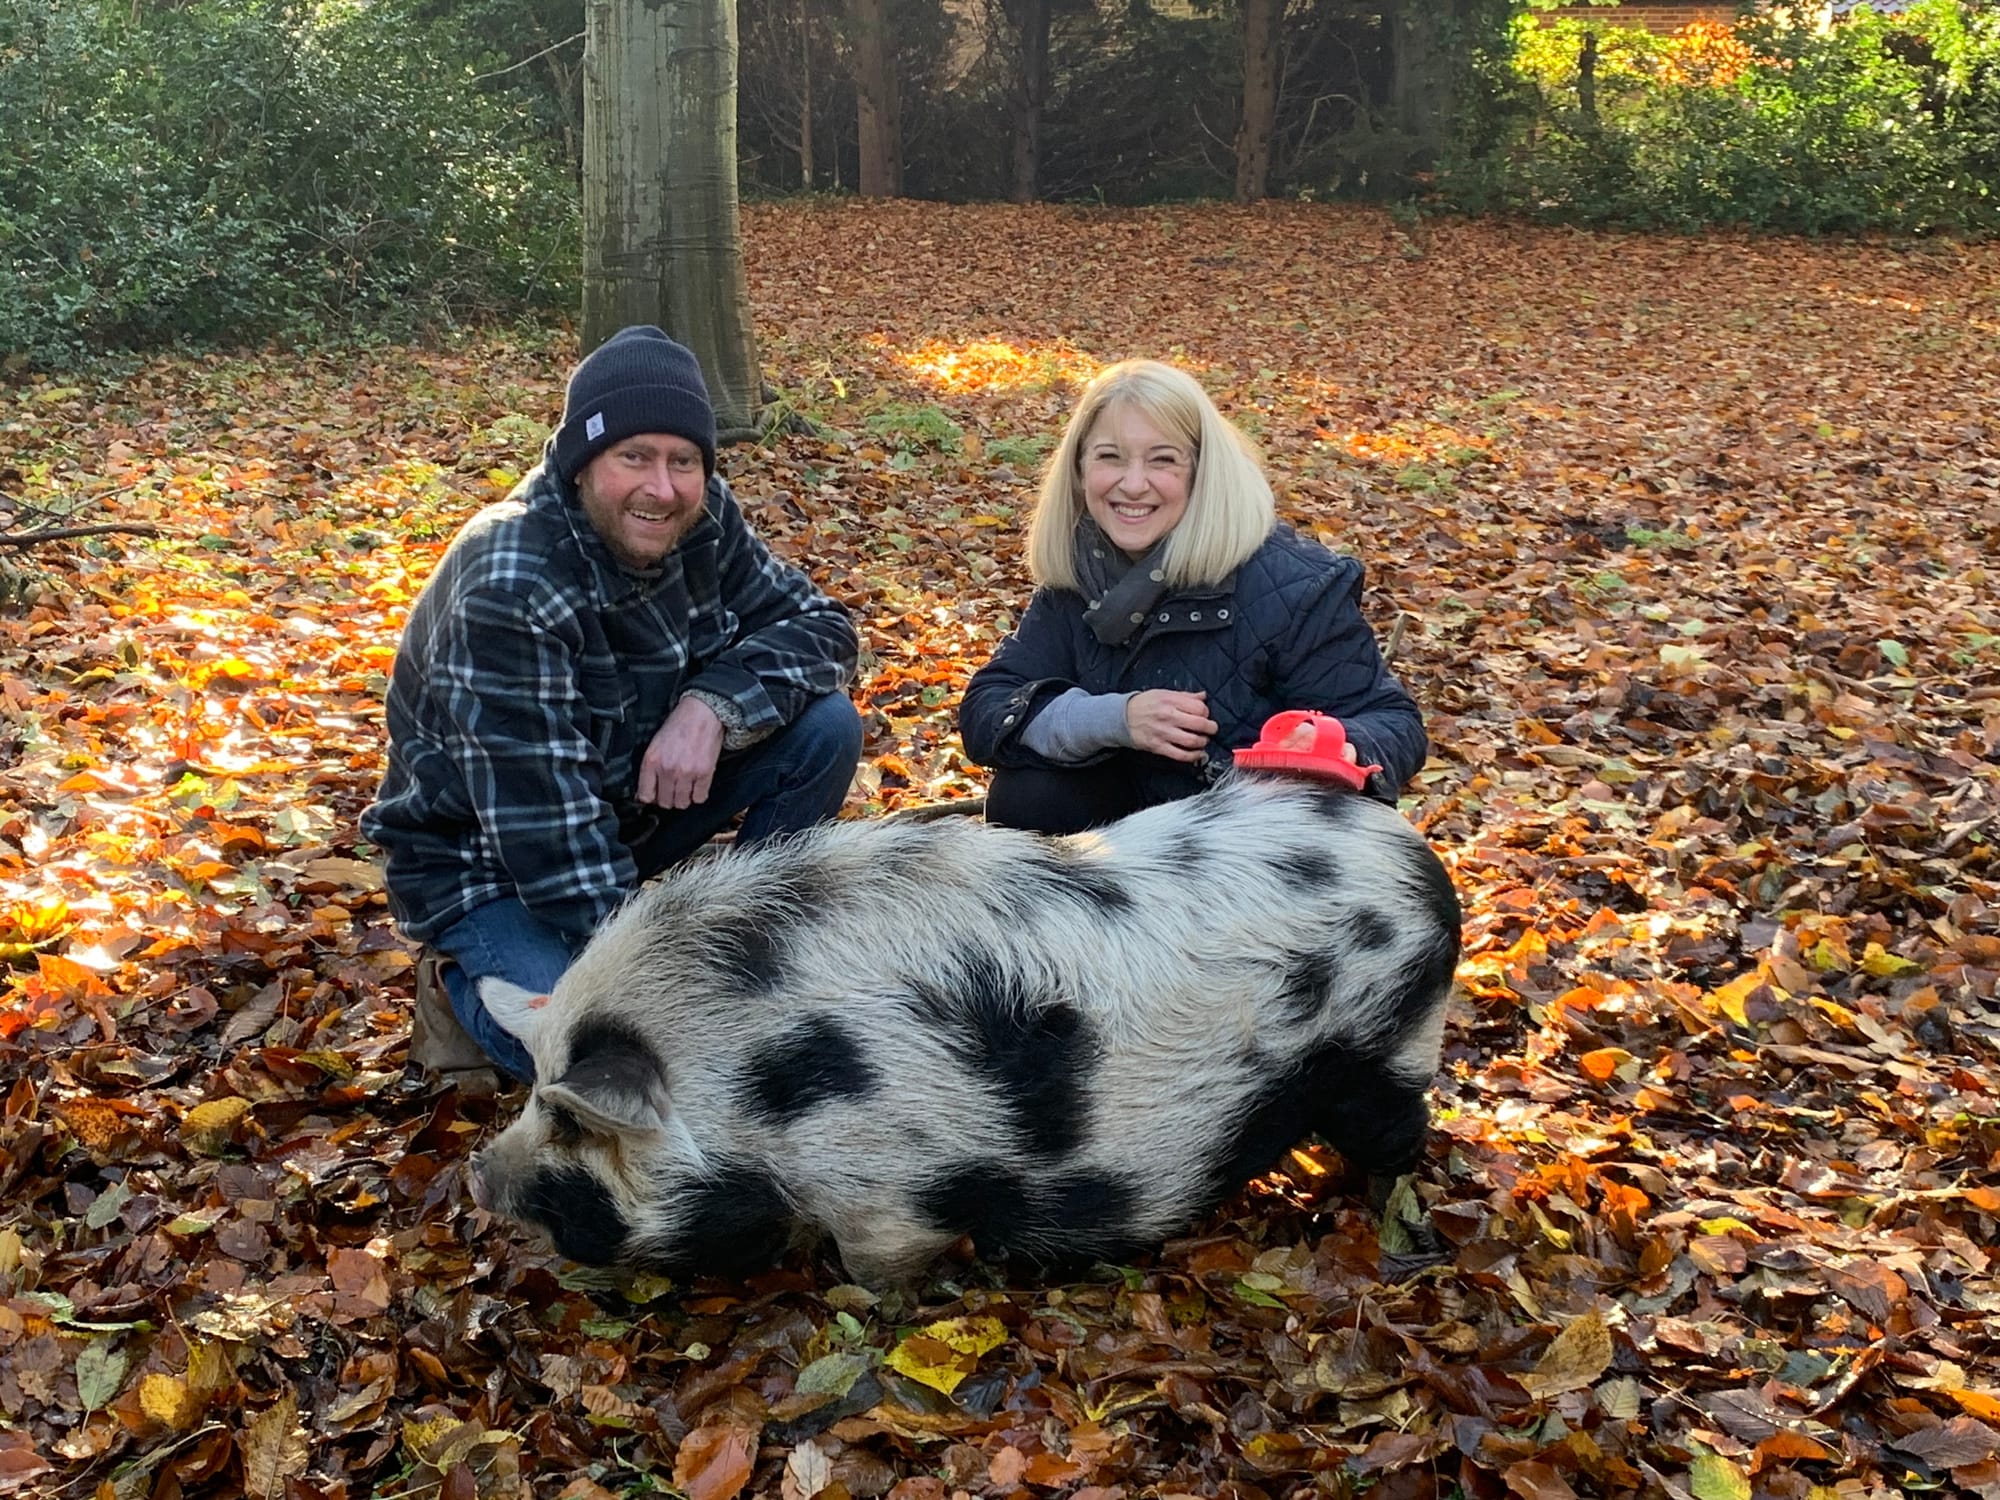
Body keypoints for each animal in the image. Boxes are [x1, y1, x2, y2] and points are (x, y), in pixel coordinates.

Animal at [470, 776, 1472, 1296]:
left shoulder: (886, 1195)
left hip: (1391, 1041)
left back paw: (1380, 1214)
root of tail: (1417, 854)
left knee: (1400, 1130)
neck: (762, 1083)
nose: (480, 1171)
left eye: (572, 1119)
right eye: (532, 1093)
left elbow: (876, 1266)